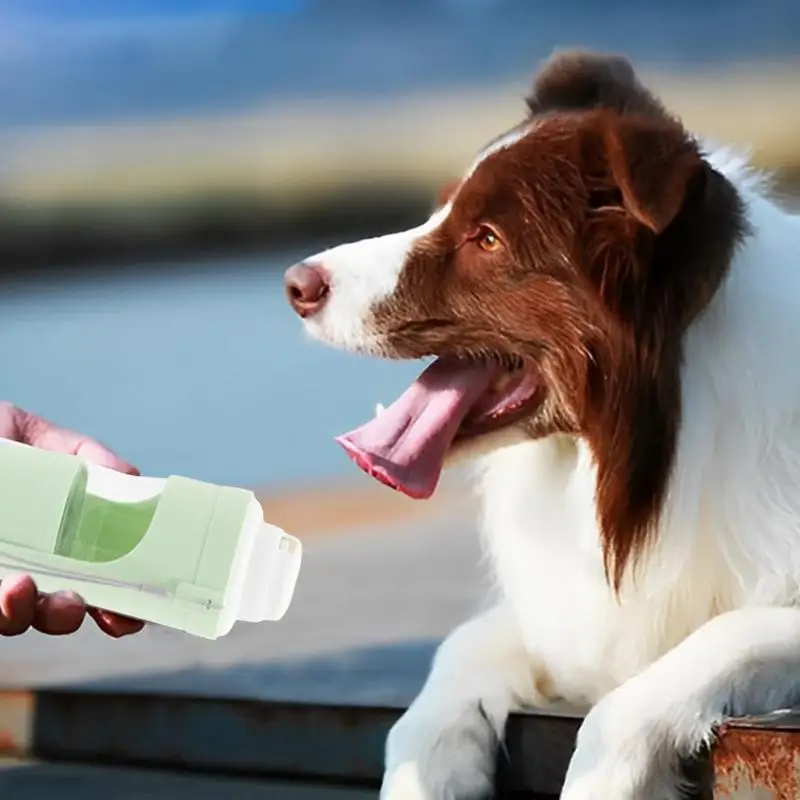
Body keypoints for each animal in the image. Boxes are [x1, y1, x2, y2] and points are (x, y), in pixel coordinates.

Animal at [282, 51, 800, 800]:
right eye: (442, 207)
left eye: (488, 239)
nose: (295, 284)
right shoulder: (567, 611)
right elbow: (460, 647)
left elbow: (715, 641)